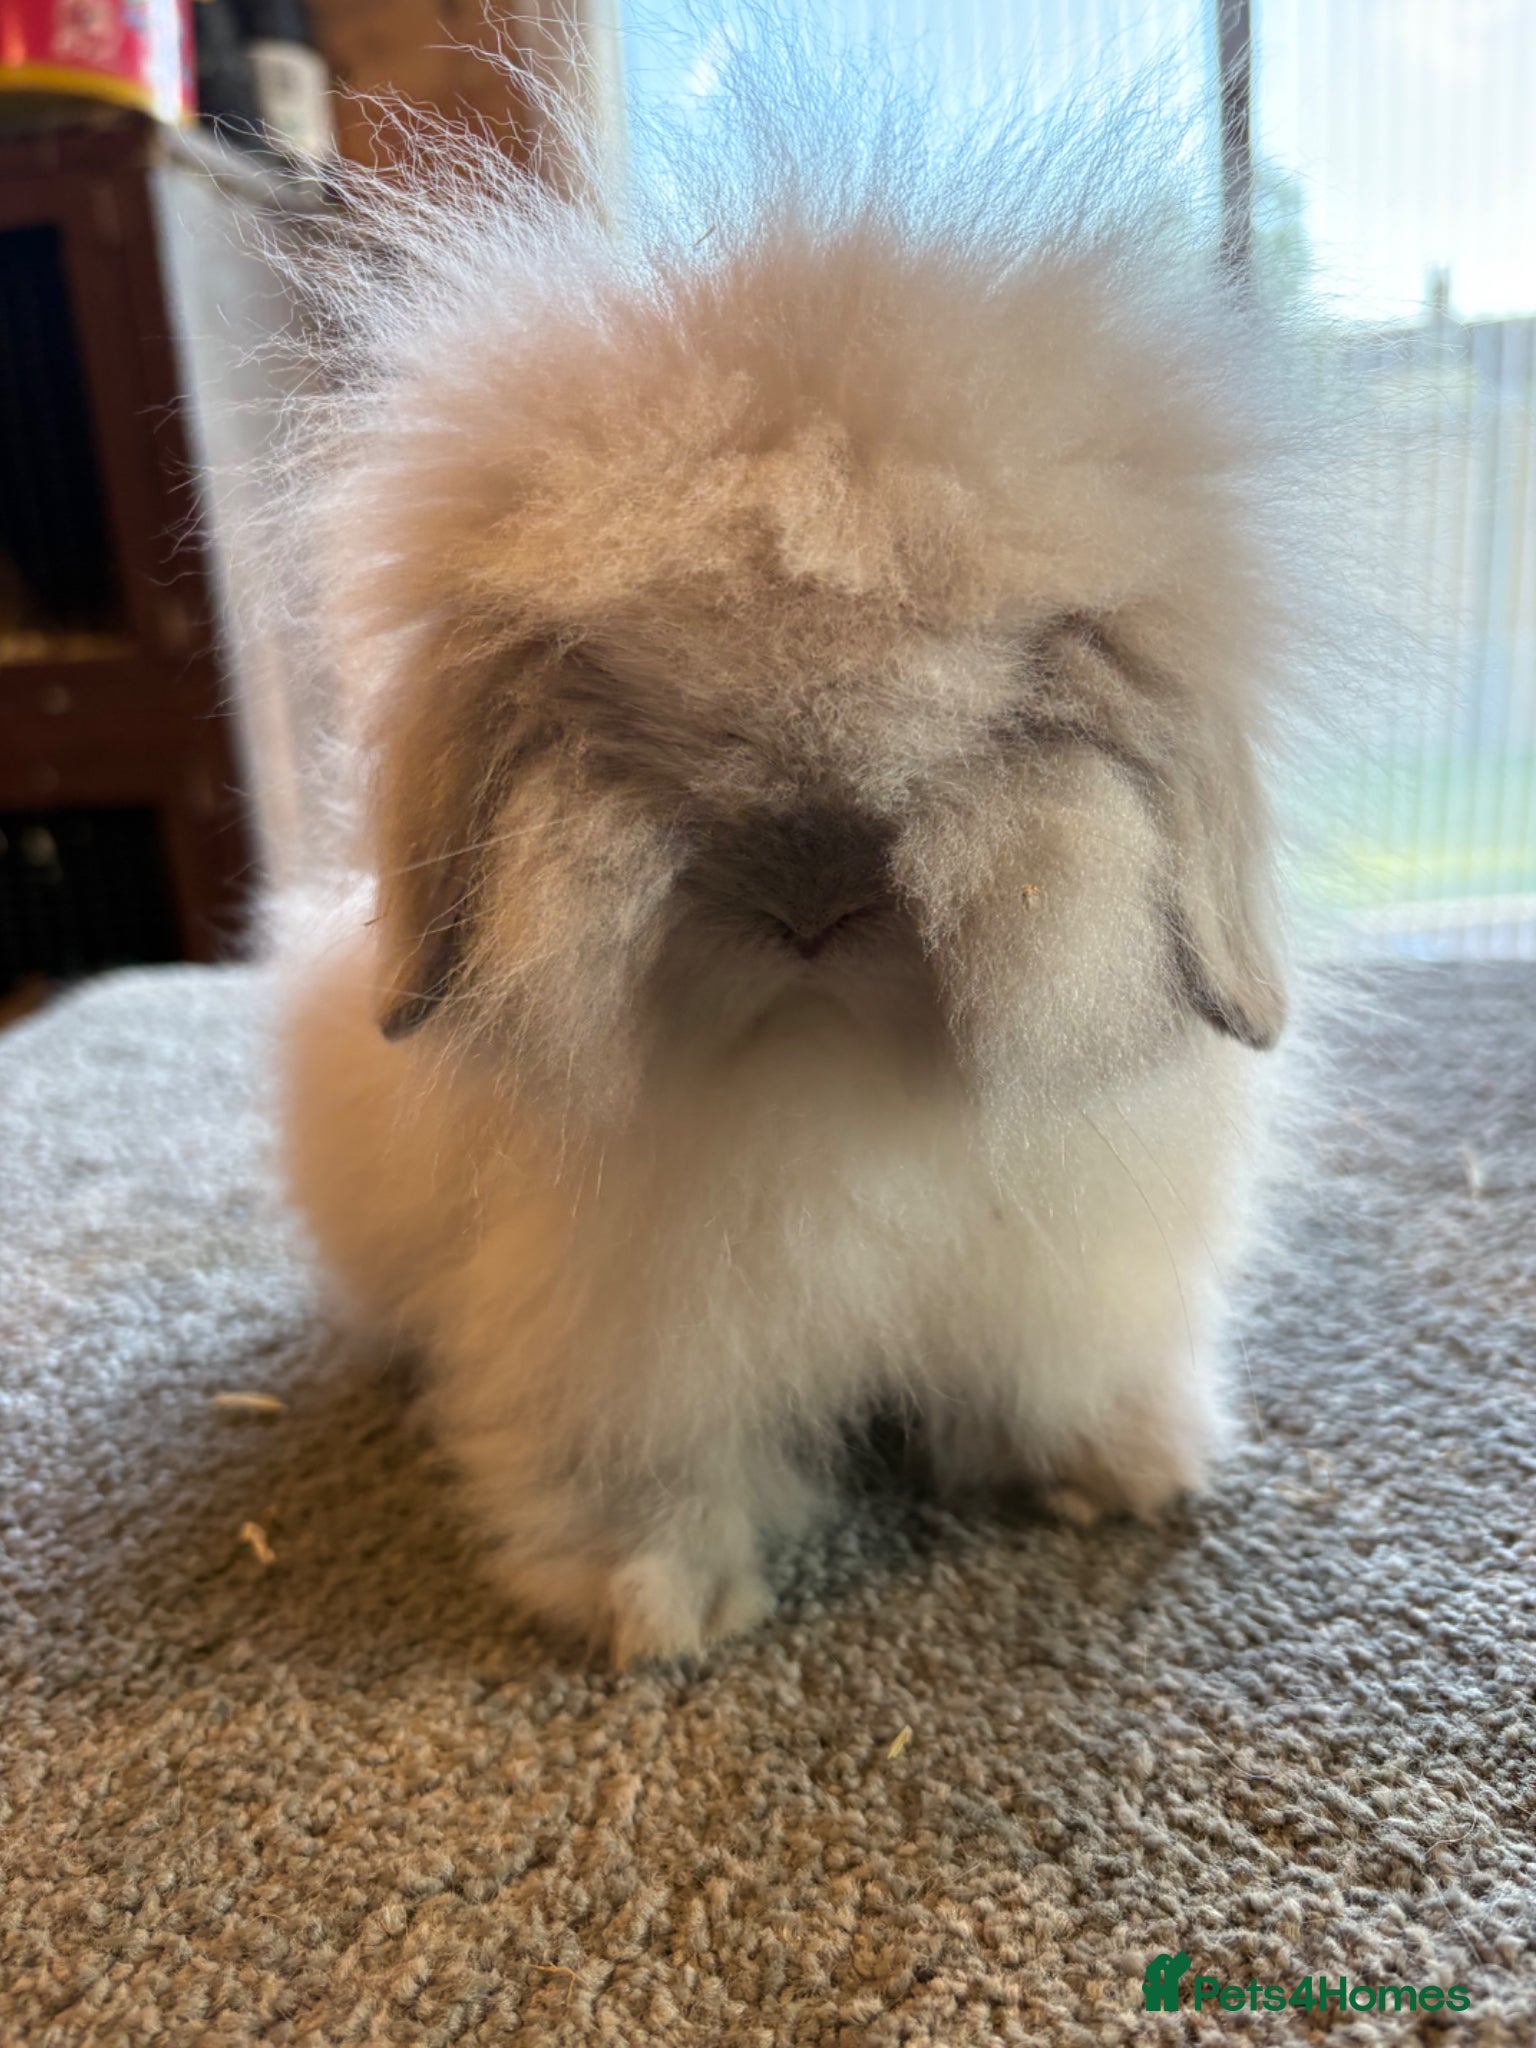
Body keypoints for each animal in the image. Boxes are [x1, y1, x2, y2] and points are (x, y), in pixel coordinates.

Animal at [272, 46, 1335, 1664]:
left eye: (1021, 698)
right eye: (604, 698)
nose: (811, 893)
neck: (829, 1062)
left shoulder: (1070, 1277)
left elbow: (1061, 1373)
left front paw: (1126, 1471)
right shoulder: (617, 1331)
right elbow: (649, 1456)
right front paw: (652, 1600)